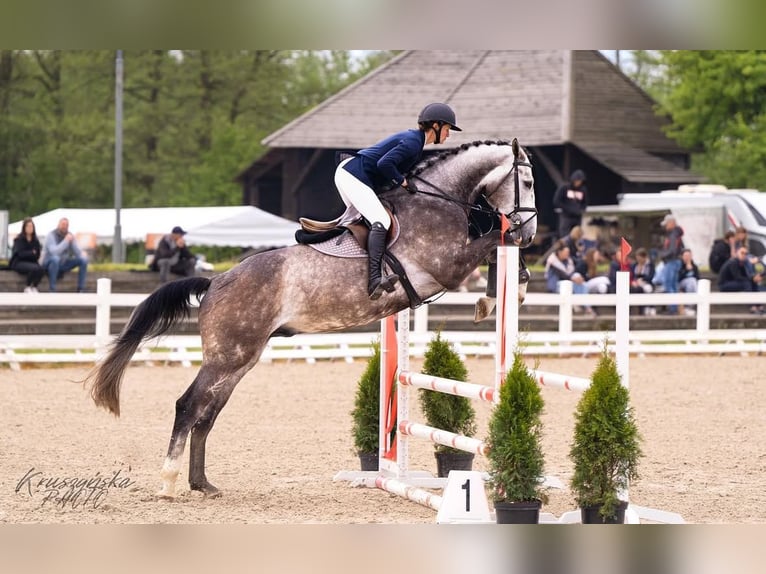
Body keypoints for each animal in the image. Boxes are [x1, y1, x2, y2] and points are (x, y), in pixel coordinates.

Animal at [87, 140, 536, 500]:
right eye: (529, 183)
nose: (532, 231)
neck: (438, 201)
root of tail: (215, 281)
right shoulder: (447, 266)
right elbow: (494, 239)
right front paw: (494, 297)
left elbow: (500, 246)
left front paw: (510, 288)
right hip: (228, 357)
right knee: (188, 406)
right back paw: (168, 483)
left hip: (240, 359)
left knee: (207, 414)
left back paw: (203, 484)